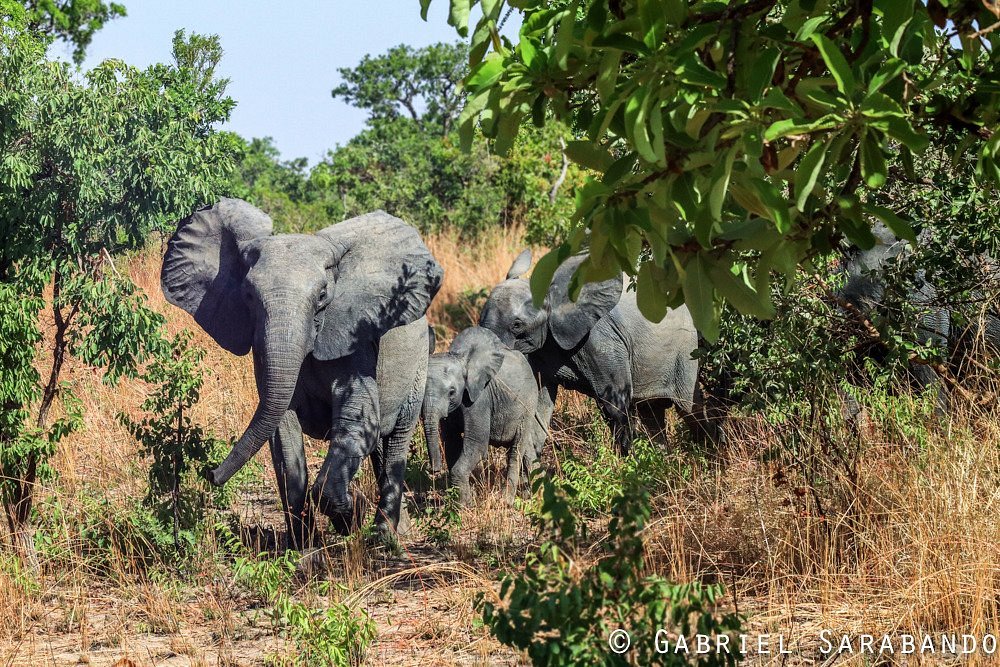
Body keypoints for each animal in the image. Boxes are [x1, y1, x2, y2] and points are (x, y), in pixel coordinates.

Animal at [160, 198, 442, 548]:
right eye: (249, 296)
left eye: (322, 296)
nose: (210, 474)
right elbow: (282, 435)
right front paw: (304, 548)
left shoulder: (356, 337)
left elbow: (356, 418)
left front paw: (351, 518)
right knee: (377, 445)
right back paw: (396, 529)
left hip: (418, 362)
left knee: (396, 441)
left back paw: (384, 535)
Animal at [422, 326, 548, 504]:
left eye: (452, 392)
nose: (434, 470)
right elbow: (451, 441)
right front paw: (464, 500)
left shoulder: (479, 398)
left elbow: (477, 444)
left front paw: (463, 506)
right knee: (527, 450)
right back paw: (534, 496)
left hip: (528, 403)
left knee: (515, 450)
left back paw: (507, 501)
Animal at [476, 250, 720, 454]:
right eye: (479, 319)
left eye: (517, 325)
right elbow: (539, 406)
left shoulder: (601, 339)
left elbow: (614, 404)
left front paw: (626, 468)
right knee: (651, 413)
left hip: (685, 352)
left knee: (689, 409)